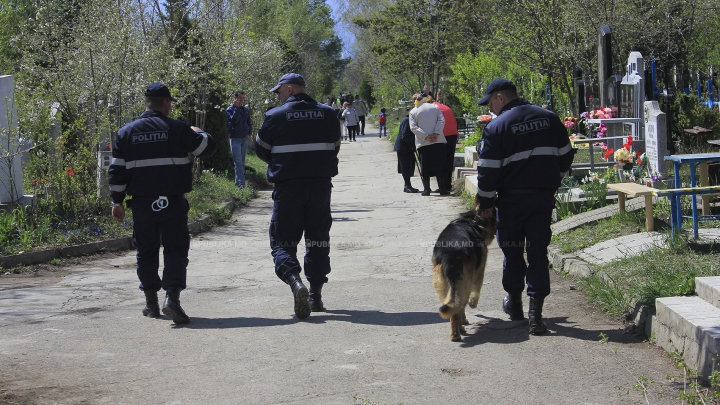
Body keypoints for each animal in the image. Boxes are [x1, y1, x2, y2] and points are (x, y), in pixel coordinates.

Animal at [434, 205, 496, 340]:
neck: (473, 221)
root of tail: (450, 254)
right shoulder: (479, 272)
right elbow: (476, 290)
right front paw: (472, 304)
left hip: (444, 285)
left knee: (453, 307)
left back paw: (455, 333)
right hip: (464, 282)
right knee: (460, 306)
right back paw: (458, 331)